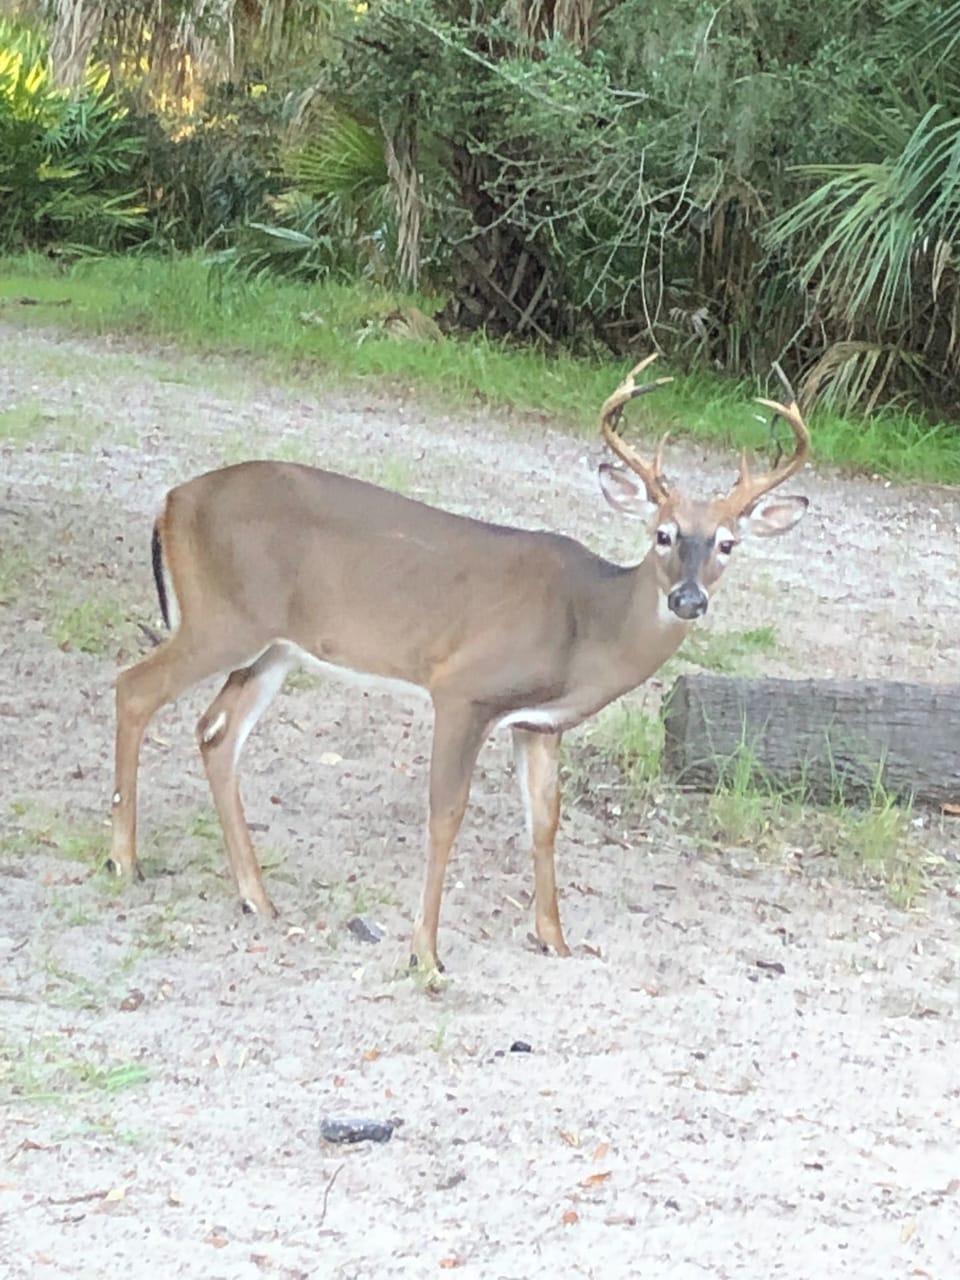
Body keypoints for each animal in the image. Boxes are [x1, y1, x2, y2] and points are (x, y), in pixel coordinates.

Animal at [109, 355, 810, 973]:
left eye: (727, 544)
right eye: (662, 534)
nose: (688, 598)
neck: (588, 628)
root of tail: (171, 500)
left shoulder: (540, 724)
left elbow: (545, 823)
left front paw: (556, 939)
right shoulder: (463, 688)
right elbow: (446, 816)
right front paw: (425, 954)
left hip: (274, 646)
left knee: (216, 733)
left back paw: (257, 897)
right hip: (222, 619)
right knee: (134, 688)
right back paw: (124, 860)